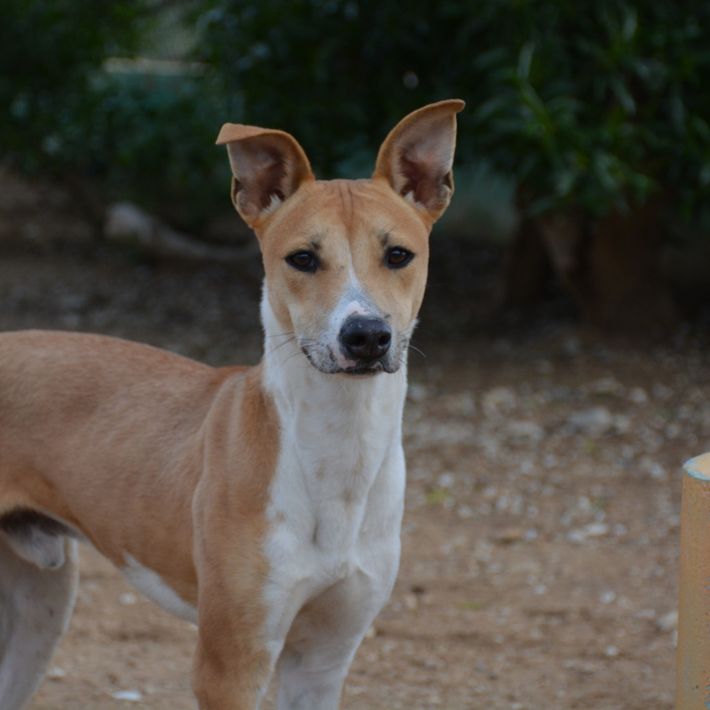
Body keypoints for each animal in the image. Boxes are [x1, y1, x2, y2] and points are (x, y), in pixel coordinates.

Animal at [0, 99, 463, 709]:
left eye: (398, 254)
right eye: (302, 259)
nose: (365, 336)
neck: (335, 449)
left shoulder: (322, 662)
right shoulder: (231, 666)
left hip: (40, 612)